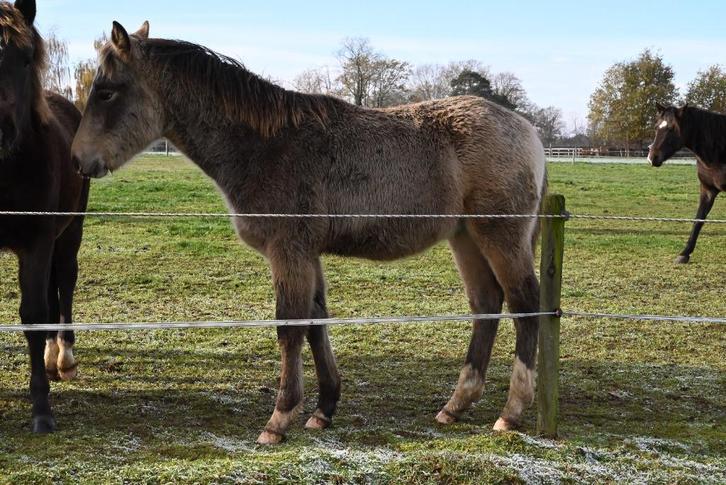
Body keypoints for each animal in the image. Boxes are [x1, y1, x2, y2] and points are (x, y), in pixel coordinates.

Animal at [72, 21, 547, 444]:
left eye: (107, 91)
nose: (79, 160)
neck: (266, 145)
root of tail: (529, 132)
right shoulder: (308, 254)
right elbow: (316, 321)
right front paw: (323, 410)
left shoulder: (288, 251)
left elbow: (290, 326)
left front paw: (278, 420)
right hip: (465, 238)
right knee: (486, 304)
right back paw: (456, 405)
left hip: (500, 236)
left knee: (525, 304)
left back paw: (511, 412)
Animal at [648, 103, 725, 264]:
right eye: (656, 127)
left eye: (672, 128)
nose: (652, 157)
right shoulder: (707, 191)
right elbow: (699, 220)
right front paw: (684, 253)